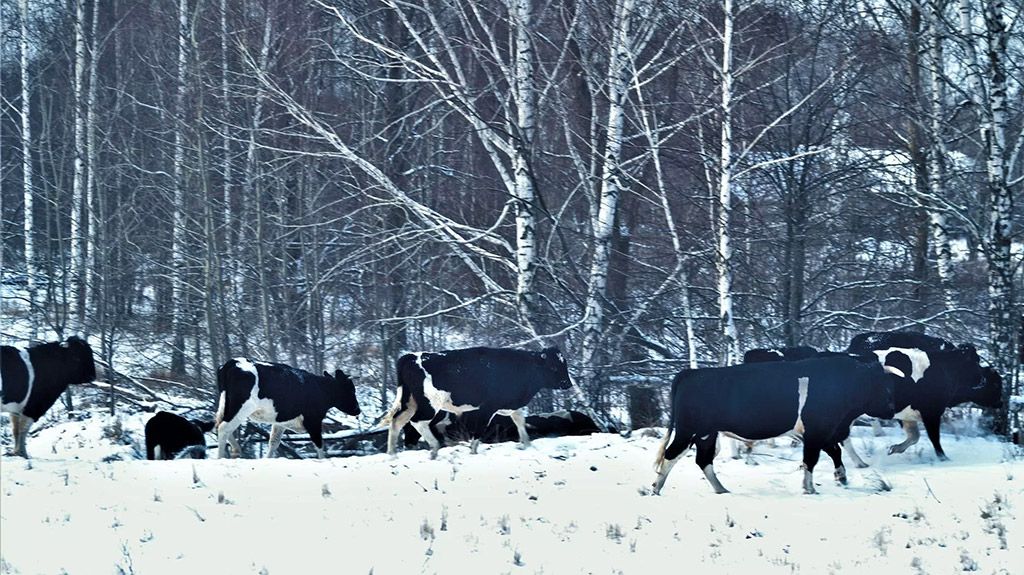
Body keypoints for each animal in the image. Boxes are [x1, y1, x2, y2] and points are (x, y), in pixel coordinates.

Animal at [214, 356, 362, 458]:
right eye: (351, 390)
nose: (358, 409)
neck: (320, 388)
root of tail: (233, 362)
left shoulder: (280, 422)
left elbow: (274, 442)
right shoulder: (313, 421)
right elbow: (319, 443)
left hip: (225, 406)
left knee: (220, 425)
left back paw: (236, 450)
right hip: (241, 408)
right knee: (224, 428)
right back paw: (221, 457)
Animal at [385, 343, 577, 456]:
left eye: (564, 364)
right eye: (553, 367)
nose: (567, 383)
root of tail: (410, 357)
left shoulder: (510, 405)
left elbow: (520, 421)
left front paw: (528, 445)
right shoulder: (487, 408)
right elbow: (479, 431)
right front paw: (473, 452)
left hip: (410, 402)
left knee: (397, 422)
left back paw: (392, 454)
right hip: (430, 403)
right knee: (417, 422)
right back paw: (434, 447)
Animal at [651, 354, 901, 493]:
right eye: (882, 386)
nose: (891, 409)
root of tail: (691, 372)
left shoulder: (824, 432)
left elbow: (835, 452)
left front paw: (841, 477)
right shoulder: (816, 432)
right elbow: (812, 459)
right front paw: (809, 488)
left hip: (707, 434)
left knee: (703, 460)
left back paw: (721, 490)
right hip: (689, 430)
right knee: (671, 455)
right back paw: (656, 488)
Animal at [843, 329, 1003, 458]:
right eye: (996, 384)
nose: (1001, 403)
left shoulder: (908, 413)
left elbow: (915, 436)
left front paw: (895, 448)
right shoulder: (930, 411)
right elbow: (933, 437)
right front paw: (943, 458)